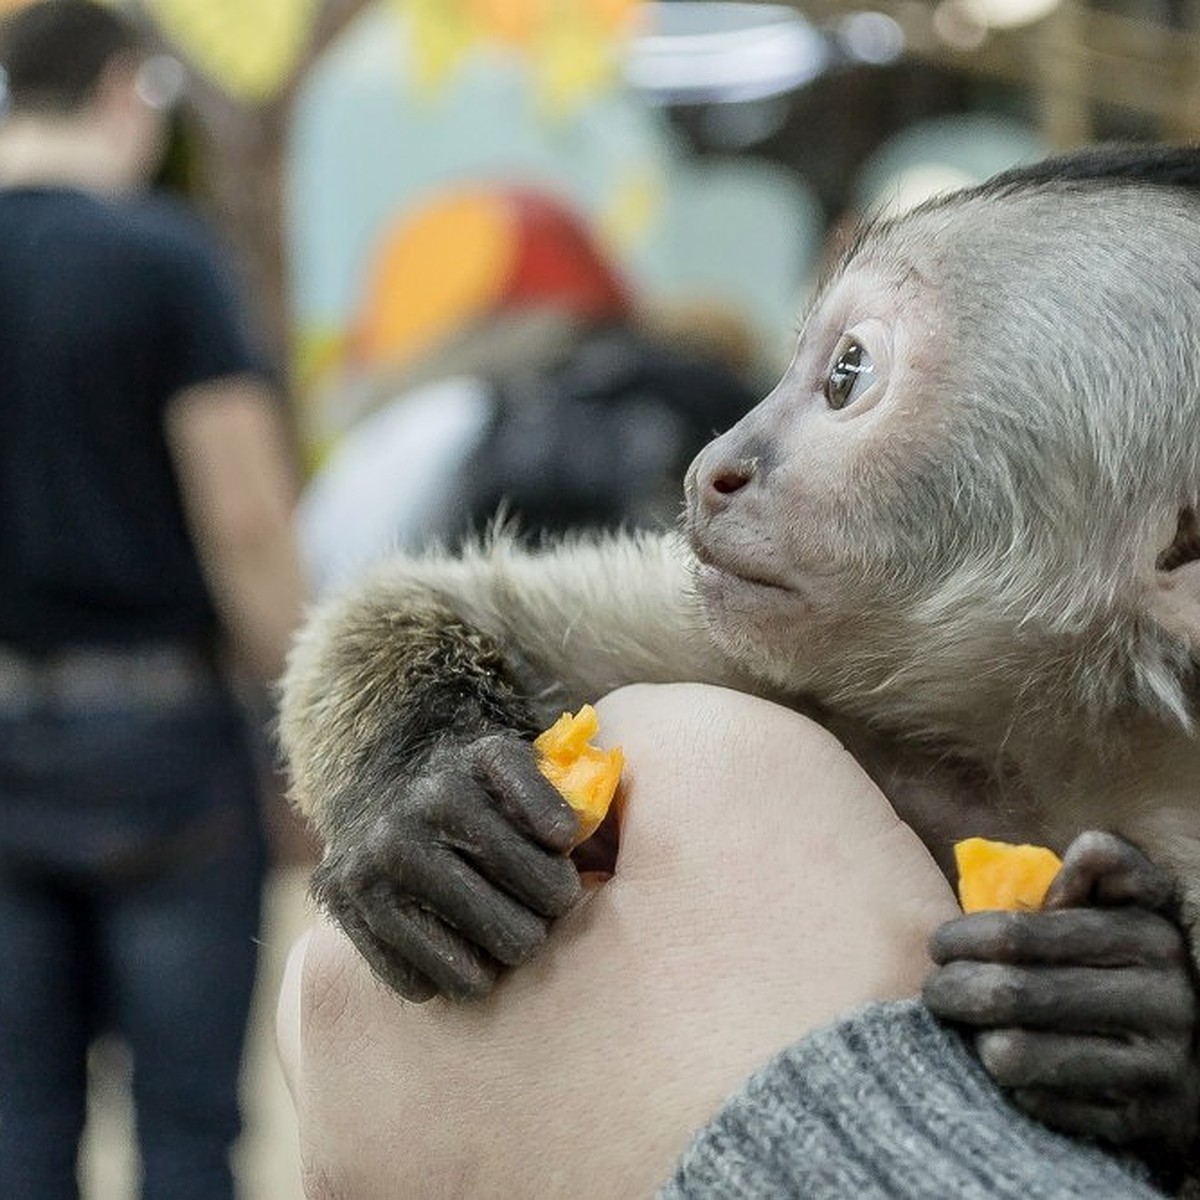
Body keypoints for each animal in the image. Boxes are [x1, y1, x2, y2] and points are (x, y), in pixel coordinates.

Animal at [283, 145, 1200, 1185]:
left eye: (847, 375)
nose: (711, 466)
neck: (1041, 741)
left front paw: (1136, 1021)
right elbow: (439, 602)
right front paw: (418, 790)